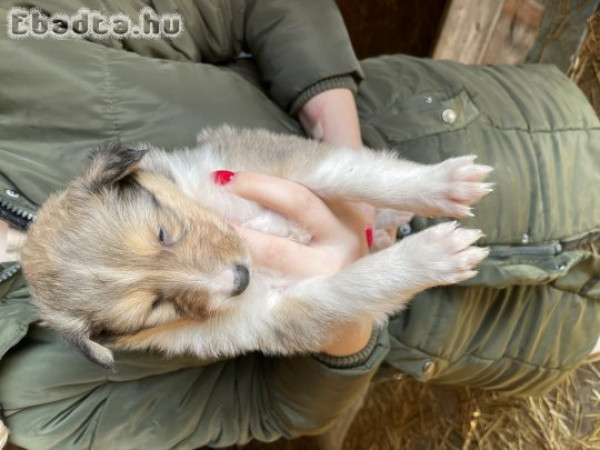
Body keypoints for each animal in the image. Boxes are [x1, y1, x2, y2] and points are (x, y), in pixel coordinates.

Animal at [22, 125, 492, 370]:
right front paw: (437, 254)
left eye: (162, 233)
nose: (241, 278)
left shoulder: (262, 164)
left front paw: (446, 184)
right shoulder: (279, 314)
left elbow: (357, 175)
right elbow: (363, 283)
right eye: (155, 306)